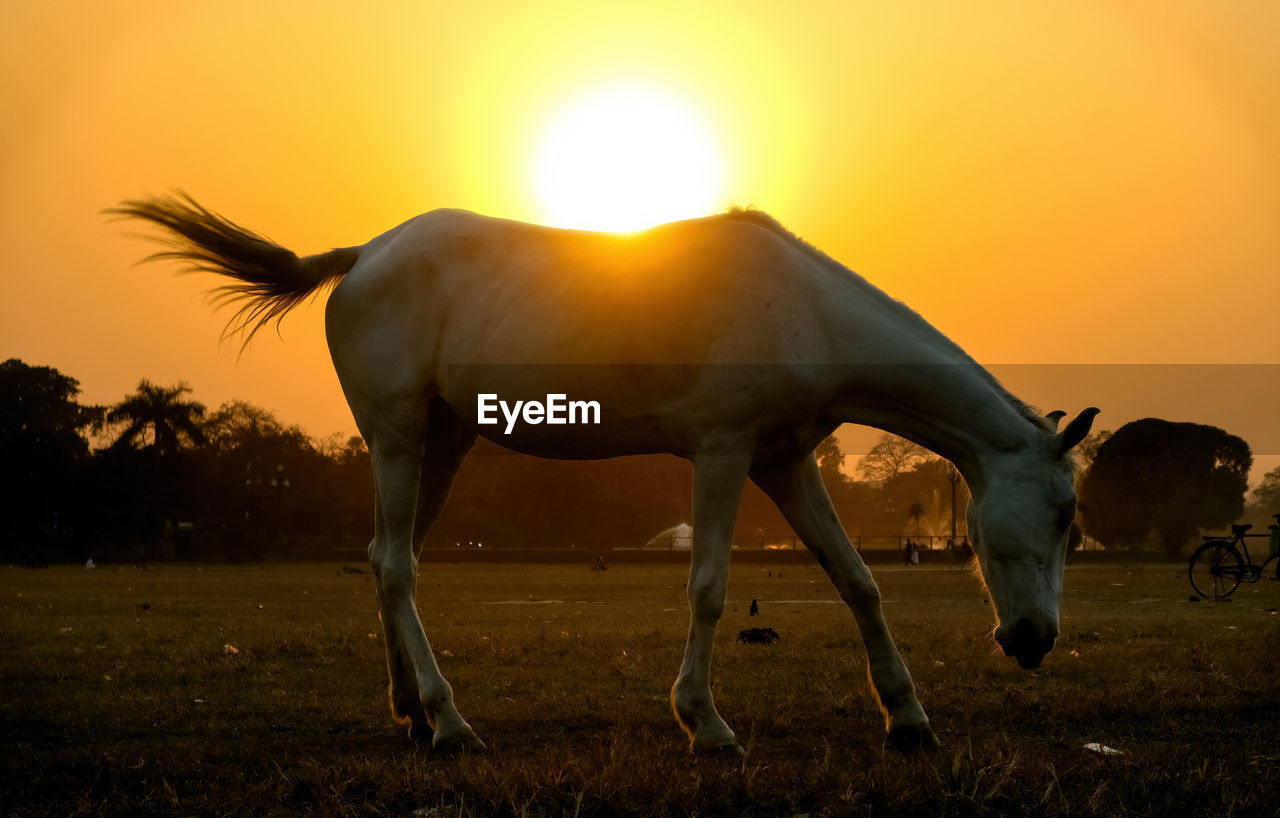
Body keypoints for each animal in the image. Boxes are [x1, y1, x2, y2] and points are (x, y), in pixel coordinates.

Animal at [110, 197, 1095, 757]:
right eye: (1063, 517)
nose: (1033, 640)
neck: (801, 308)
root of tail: (367, 254)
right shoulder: (724, 451)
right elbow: (709, 587)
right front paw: (704, 723)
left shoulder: (783, 459)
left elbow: (858, 582)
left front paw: (908, 717)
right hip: (395, 436)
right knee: (395, 566)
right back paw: (451, 723)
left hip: (440, 445)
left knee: (392, 562)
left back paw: (414, 714)